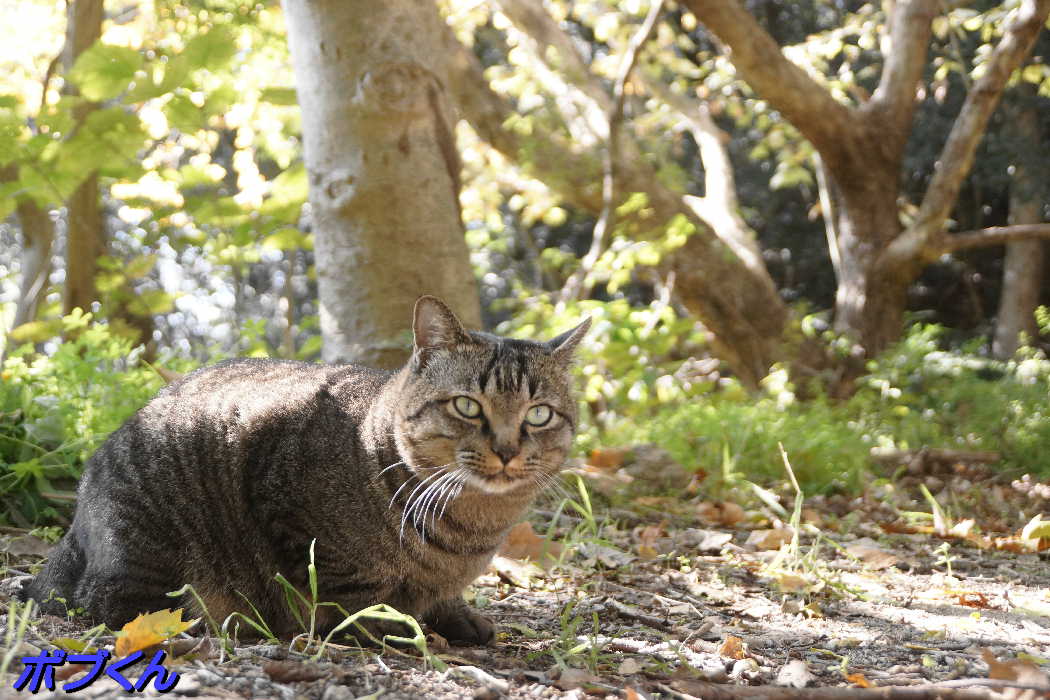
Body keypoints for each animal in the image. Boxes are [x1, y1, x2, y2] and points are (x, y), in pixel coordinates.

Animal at [24, 298, 588, 646]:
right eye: (468, 406)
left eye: (539, 414)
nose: (507, 449)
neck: (471, 525)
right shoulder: (291, 508)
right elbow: (348, 592)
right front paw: (387, 624)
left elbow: (442, 598)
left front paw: (455, 616)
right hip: (149, 544)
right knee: (116, 606)